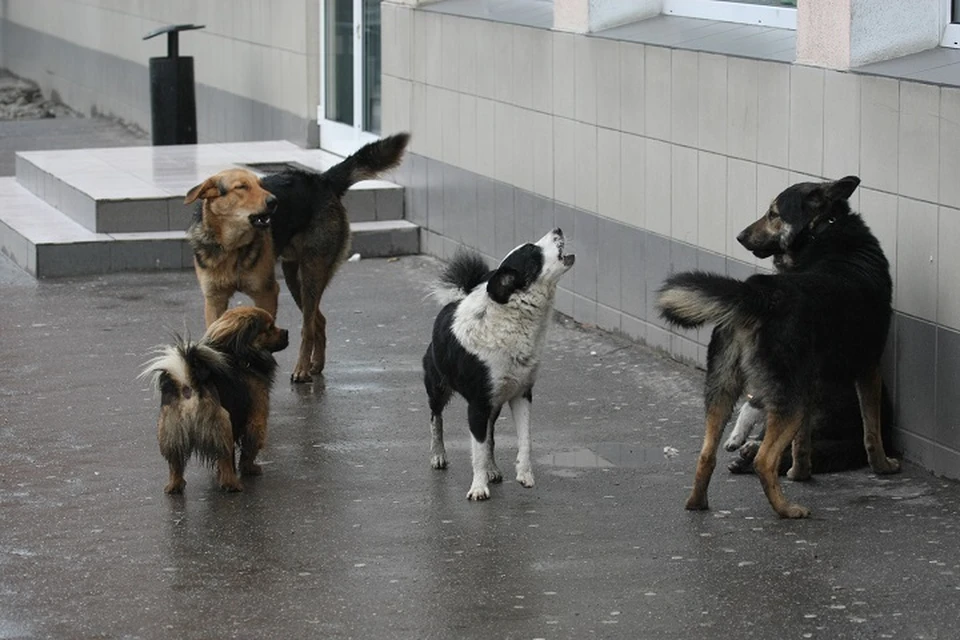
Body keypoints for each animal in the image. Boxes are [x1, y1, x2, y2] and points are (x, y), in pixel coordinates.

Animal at [141, 306, 286, 496]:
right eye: (270, 328)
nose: (286, 332)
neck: (238, 355)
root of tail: (188, 383)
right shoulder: (257, 418)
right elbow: (250, 447)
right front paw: (249, 468)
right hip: (222, 425)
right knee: (225, 456)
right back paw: (232, 484)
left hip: (172, 432)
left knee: (175, 463)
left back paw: (175, 485)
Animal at [186, 131, 410, 380]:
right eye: (241, 187)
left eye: (260, 185)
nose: (274, 201)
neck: (232, 247)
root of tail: (322, 180)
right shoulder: (214, 299)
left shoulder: (266, 293)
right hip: (294, 278)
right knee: (318, 321)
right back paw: (316, 364)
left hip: (311, 273)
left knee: (308, 326)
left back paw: (302, 368)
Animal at [422, 230, 572, 500]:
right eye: (533, 251)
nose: (558, 230)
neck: (511, 319)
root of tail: (454, 301)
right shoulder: (478, 404)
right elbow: (478, 450)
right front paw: (478, 488)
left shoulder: (521, 395)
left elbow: (523, 439)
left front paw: (524, 474)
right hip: (438, 387)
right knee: (435, 418)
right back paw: (438, 454)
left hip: (495, 404)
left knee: (490, 435)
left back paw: (493, 469)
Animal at [660, 176, 900, 520]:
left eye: (773, 213)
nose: (740, 236)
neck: (824, 228)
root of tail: (759, 295)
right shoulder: (868, 368)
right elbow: (872, 430)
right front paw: (882, 466)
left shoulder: (813, 382)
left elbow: (802, 443)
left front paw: (800, 472)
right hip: (791, 400)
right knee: (764, 460)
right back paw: (786, 508)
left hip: (723, 388)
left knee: (707, 454)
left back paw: (697, 502)